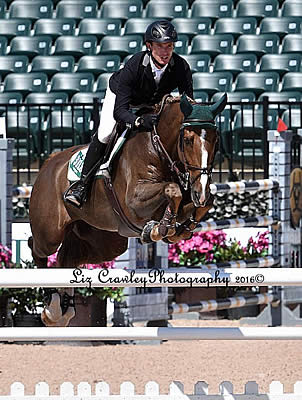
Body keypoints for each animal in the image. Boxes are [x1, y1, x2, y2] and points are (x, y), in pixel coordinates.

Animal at [28, 92, 226, 326]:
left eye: (216, 139)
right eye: (187, 140)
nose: (200, 190)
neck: (157, 147)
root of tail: (49, 163)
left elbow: (202, 200)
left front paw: (180, 229)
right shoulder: (135, 201)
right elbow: (173, 190)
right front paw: (161, 228)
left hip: (103, 241)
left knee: (67, 258)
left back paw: (62, 310)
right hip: (50, 232)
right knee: (37, 248)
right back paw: (52, 308)